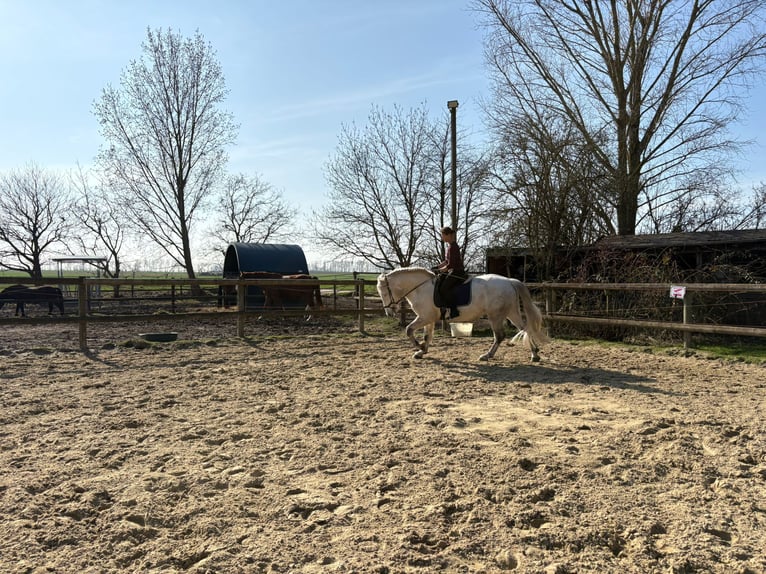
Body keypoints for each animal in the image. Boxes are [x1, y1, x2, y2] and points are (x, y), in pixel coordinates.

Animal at [376, 267, 549, 361]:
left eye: (384, 292)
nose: (389, 312)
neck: (420, 288)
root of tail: (509, 281)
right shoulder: (429, 319)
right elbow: (427, 335)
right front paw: (422, 351)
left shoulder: (424, 317)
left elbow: (409, 330)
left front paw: (418, 347)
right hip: (511, 313)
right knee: (525, 329)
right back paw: (534, 354)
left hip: (495, 316)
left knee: (500, 336)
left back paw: (487, 355)